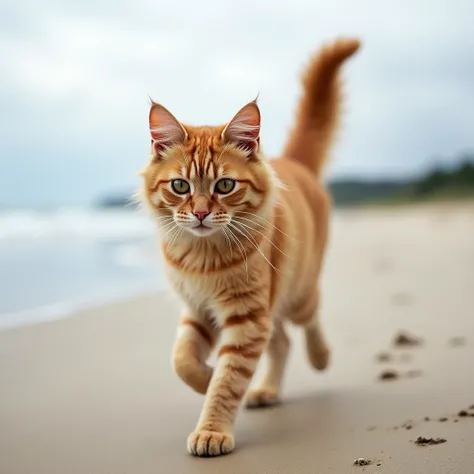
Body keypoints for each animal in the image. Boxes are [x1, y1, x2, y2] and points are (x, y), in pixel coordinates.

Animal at [140, 37, 360, 456]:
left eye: (225, 186)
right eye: (180, 186)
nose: (201, 213)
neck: (203, 257)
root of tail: (292, 162)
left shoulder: (246, 318)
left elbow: (227, 383)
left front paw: (212, 430)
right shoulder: (199, 310)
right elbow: (183, 362)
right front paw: (205, 377)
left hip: (297, 291)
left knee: (309, 321)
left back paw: (321, 358)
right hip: (270, 307)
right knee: (283, 341)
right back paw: (267, 390)